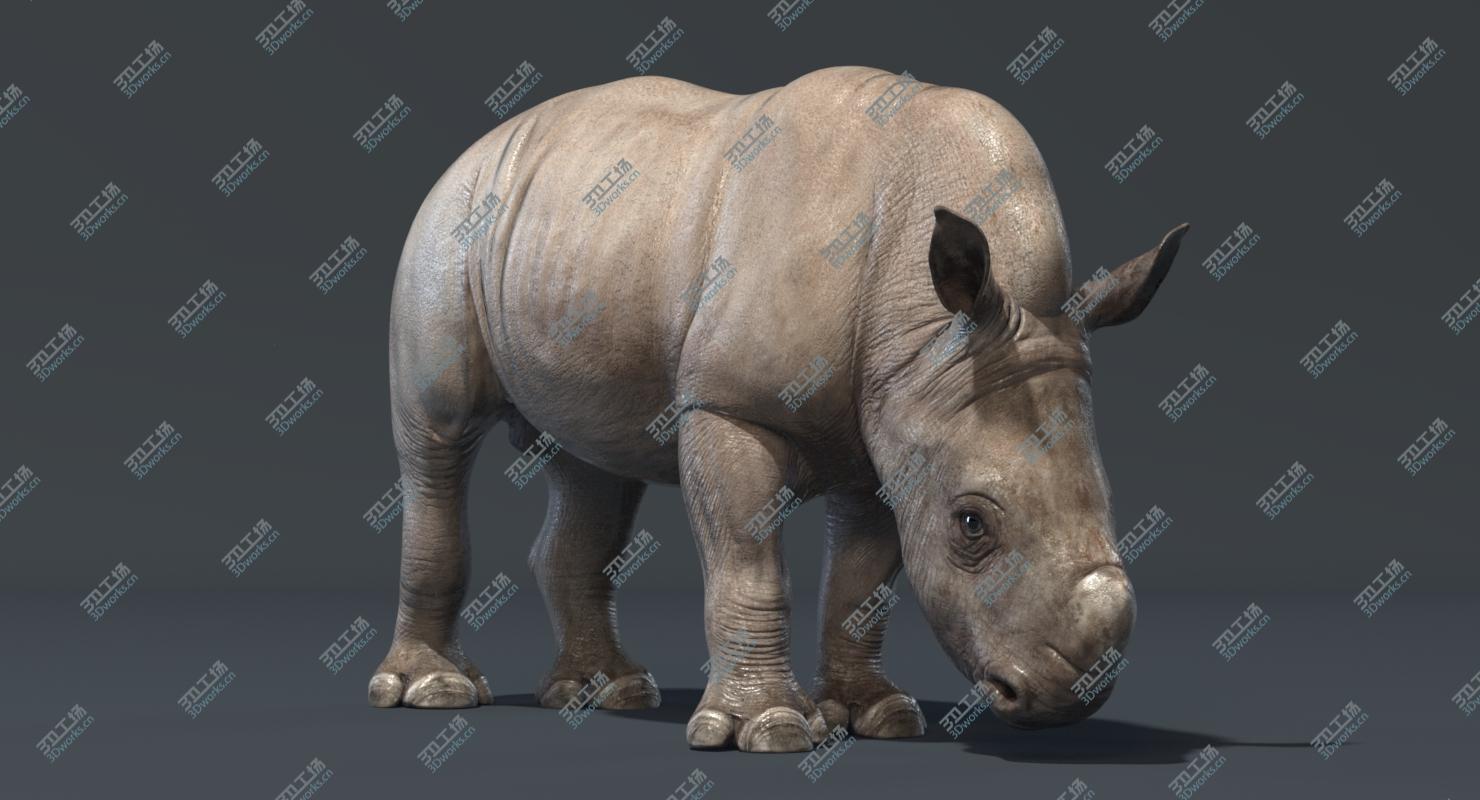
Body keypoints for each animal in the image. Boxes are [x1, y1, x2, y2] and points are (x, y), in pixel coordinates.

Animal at [370, 65, 1189, 753]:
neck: (927, 328)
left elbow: (863, 581)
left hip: (571, 243)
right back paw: (433, 690)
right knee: (438, 443)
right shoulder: (732, 405)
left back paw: (607, 692)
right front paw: (768, 731)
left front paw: (875, 717)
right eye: (971, 525)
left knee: (591, 464)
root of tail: (485, 143)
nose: (1074, 696)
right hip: (450, 227)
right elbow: (748, 562)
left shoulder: (896, 417)